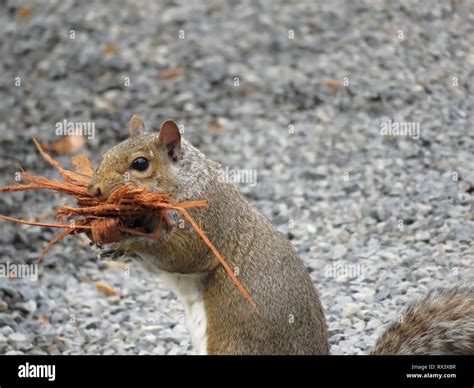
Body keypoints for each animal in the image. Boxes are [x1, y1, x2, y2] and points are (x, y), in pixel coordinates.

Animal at [88, 115, 474, 354]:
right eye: (105, 153)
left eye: (140, 164)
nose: (93, 190)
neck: (186, 181)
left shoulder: (205, 222)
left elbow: (178, 254)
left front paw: (127, 239)